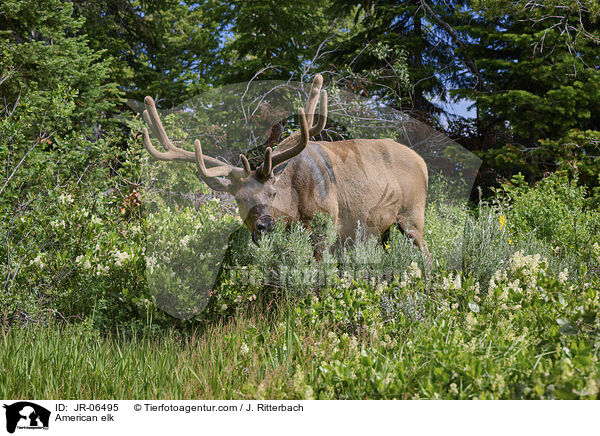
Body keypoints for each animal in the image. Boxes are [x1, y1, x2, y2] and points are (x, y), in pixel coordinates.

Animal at [142, 74, 426, 258]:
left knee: (426, 254)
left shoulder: (327, 223)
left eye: (273, 193)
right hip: (383, 228)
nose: (266, 226)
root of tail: (422, 163)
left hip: (413, 214)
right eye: (239, 199)